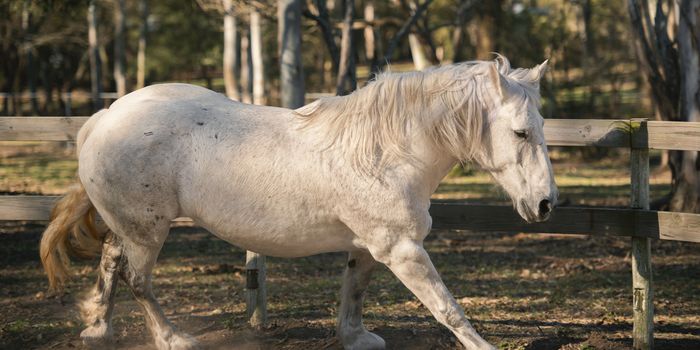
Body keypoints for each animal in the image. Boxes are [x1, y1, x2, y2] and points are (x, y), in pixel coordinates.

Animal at [42, 56, 556, 348]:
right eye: (520, 132)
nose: (546, 204)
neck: (385, 153)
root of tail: (105, 116)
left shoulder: (368, 247)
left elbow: (353, 294)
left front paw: (355, 338)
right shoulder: (402, 250)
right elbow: (448, 308)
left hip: (129, 226)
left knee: (110, 263)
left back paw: (98, 329)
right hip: (149, 232)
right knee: (137, 280)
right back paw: (173, 338)